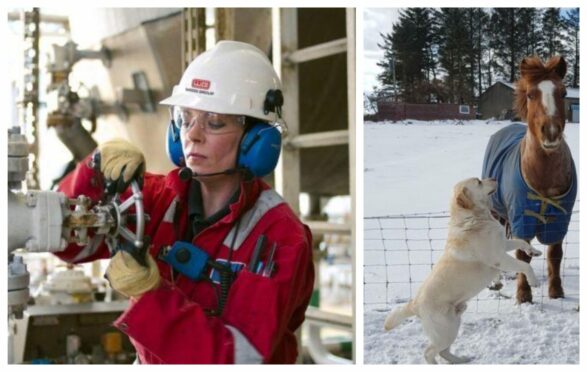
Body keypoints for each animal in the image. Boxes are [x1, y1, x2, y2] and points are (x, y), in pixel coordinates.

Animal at [484, 56, 576, 304]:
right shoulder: (521, 217)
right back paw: (496, 280)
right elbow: (523, 255)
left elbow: (555, 254)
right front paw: (524, 294)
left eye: (563, 92)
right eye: (530, 95)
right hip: (496, 211)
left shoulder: (559, 219)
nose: (551, 132)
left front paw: (556, 291)